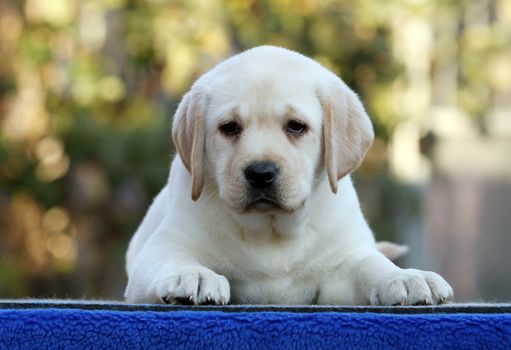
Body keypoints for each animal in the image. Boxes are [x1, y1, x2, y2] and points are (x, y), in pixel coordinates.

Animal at [124, 47, 452, 306]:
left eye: (296, 126)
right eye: (229, 127)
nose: (260, 173)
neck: (271, 230)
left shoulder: (342, 267)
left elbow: (370, 265)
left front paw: (406, 277)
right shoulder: (161, 247)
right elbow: (172, 258)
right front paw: (193, 274)